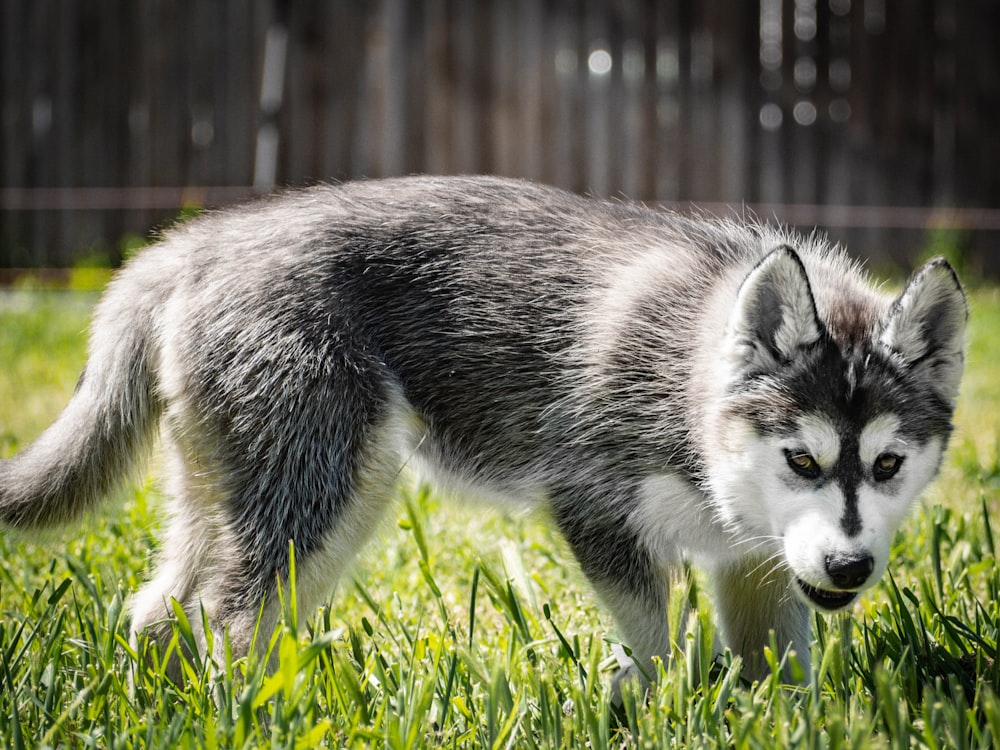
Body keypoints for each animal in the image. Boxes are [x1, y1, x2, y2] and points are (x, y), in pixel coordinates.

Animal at [1, 176, 968, 692]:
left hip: (261, 489)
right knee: (229, 618)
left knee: (159, 611)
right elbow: (654, 643)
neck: (688, 389)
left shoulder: (756, 562)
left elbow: (779, 670)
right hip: (328, 488)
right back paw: (252, 709)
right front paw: (654, 704)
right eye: (802, 458)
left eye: (888, 464)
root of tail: (191, 245)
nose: (849, 568)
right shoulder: (593, 507)